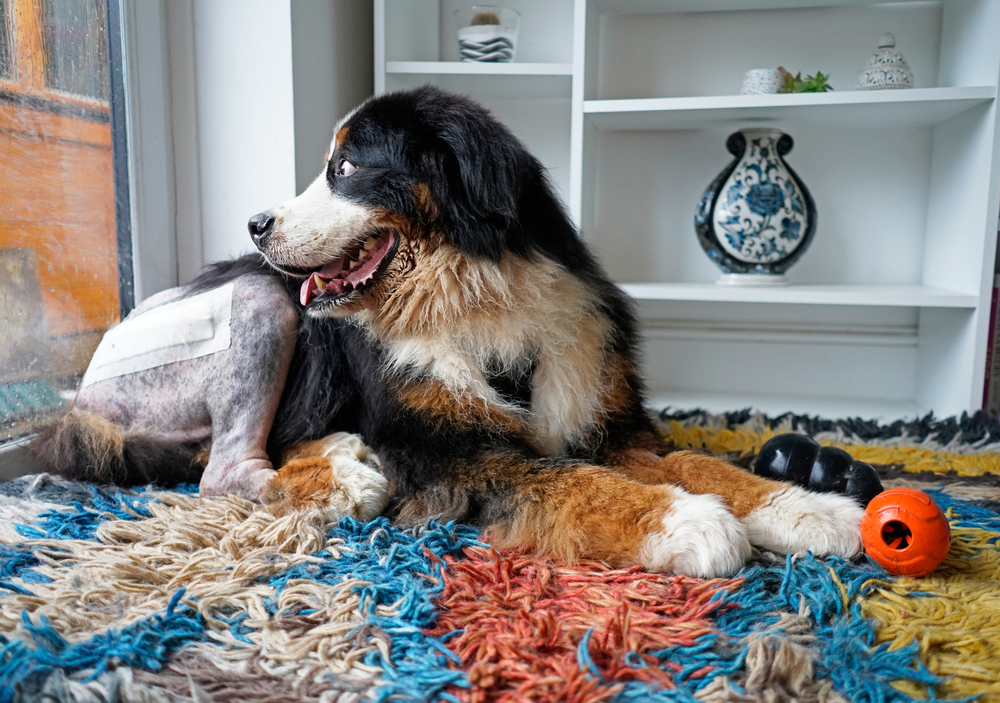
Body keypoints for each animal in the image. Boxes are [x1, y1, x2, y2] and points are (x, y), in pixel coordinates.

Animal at [29, 86, 860, 576]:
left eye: (346, 166)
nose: (257, 224)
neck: (471, 298)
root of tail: (83, 389)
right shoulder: (448, 449)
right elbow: (571, 479)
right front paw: (686, 520)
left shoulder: (602, 417)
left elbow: (698, 460)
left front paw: (810, 507)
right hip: (262, 302)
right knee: (230, 468)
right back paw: (341, 473)